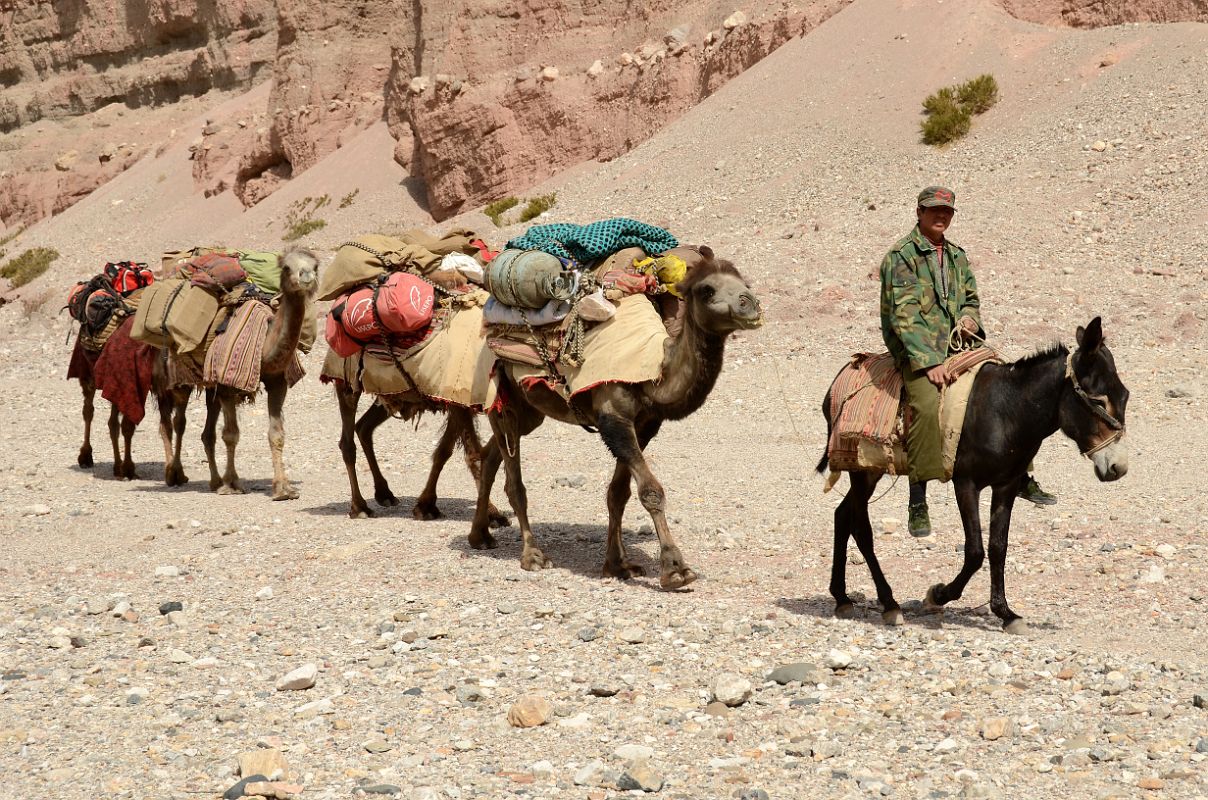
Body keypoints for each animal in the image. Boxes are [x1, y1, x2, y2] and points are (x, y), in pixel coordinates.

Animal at [466, 247, 758, 592]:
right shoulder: (613, 416)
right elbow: (650, 491)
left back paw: (479, 536)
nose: (750, 303)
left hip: (528, 409)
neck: (654, 369)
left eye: (744, 282)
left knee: (491, 456)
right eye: (707, 290)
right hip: (501, 397)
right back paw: (532, 555)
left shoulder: (644, 424)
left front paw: (618, 565)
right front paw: (675, 569)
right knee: (514, 482)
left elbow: (618, 494)